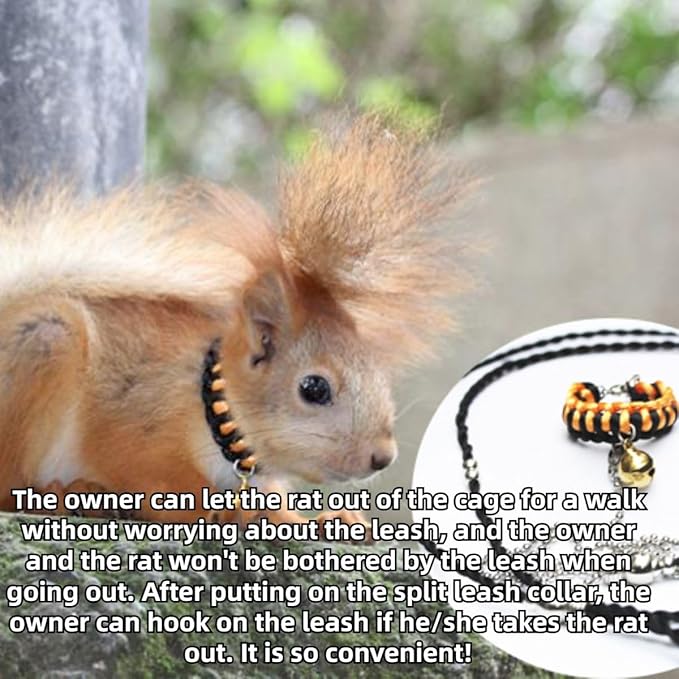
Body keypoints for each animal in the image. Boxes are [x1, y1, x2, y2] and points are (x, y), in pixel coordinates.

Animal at [0, 115, 475, 532]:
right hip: (45, 343)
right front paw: (229, 510)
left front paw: (332, 520)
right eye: (313, 388)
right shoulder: (137, 425)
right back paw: (67, 493)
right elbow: (159, 479)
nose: (382, 456)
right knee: (9, 486)